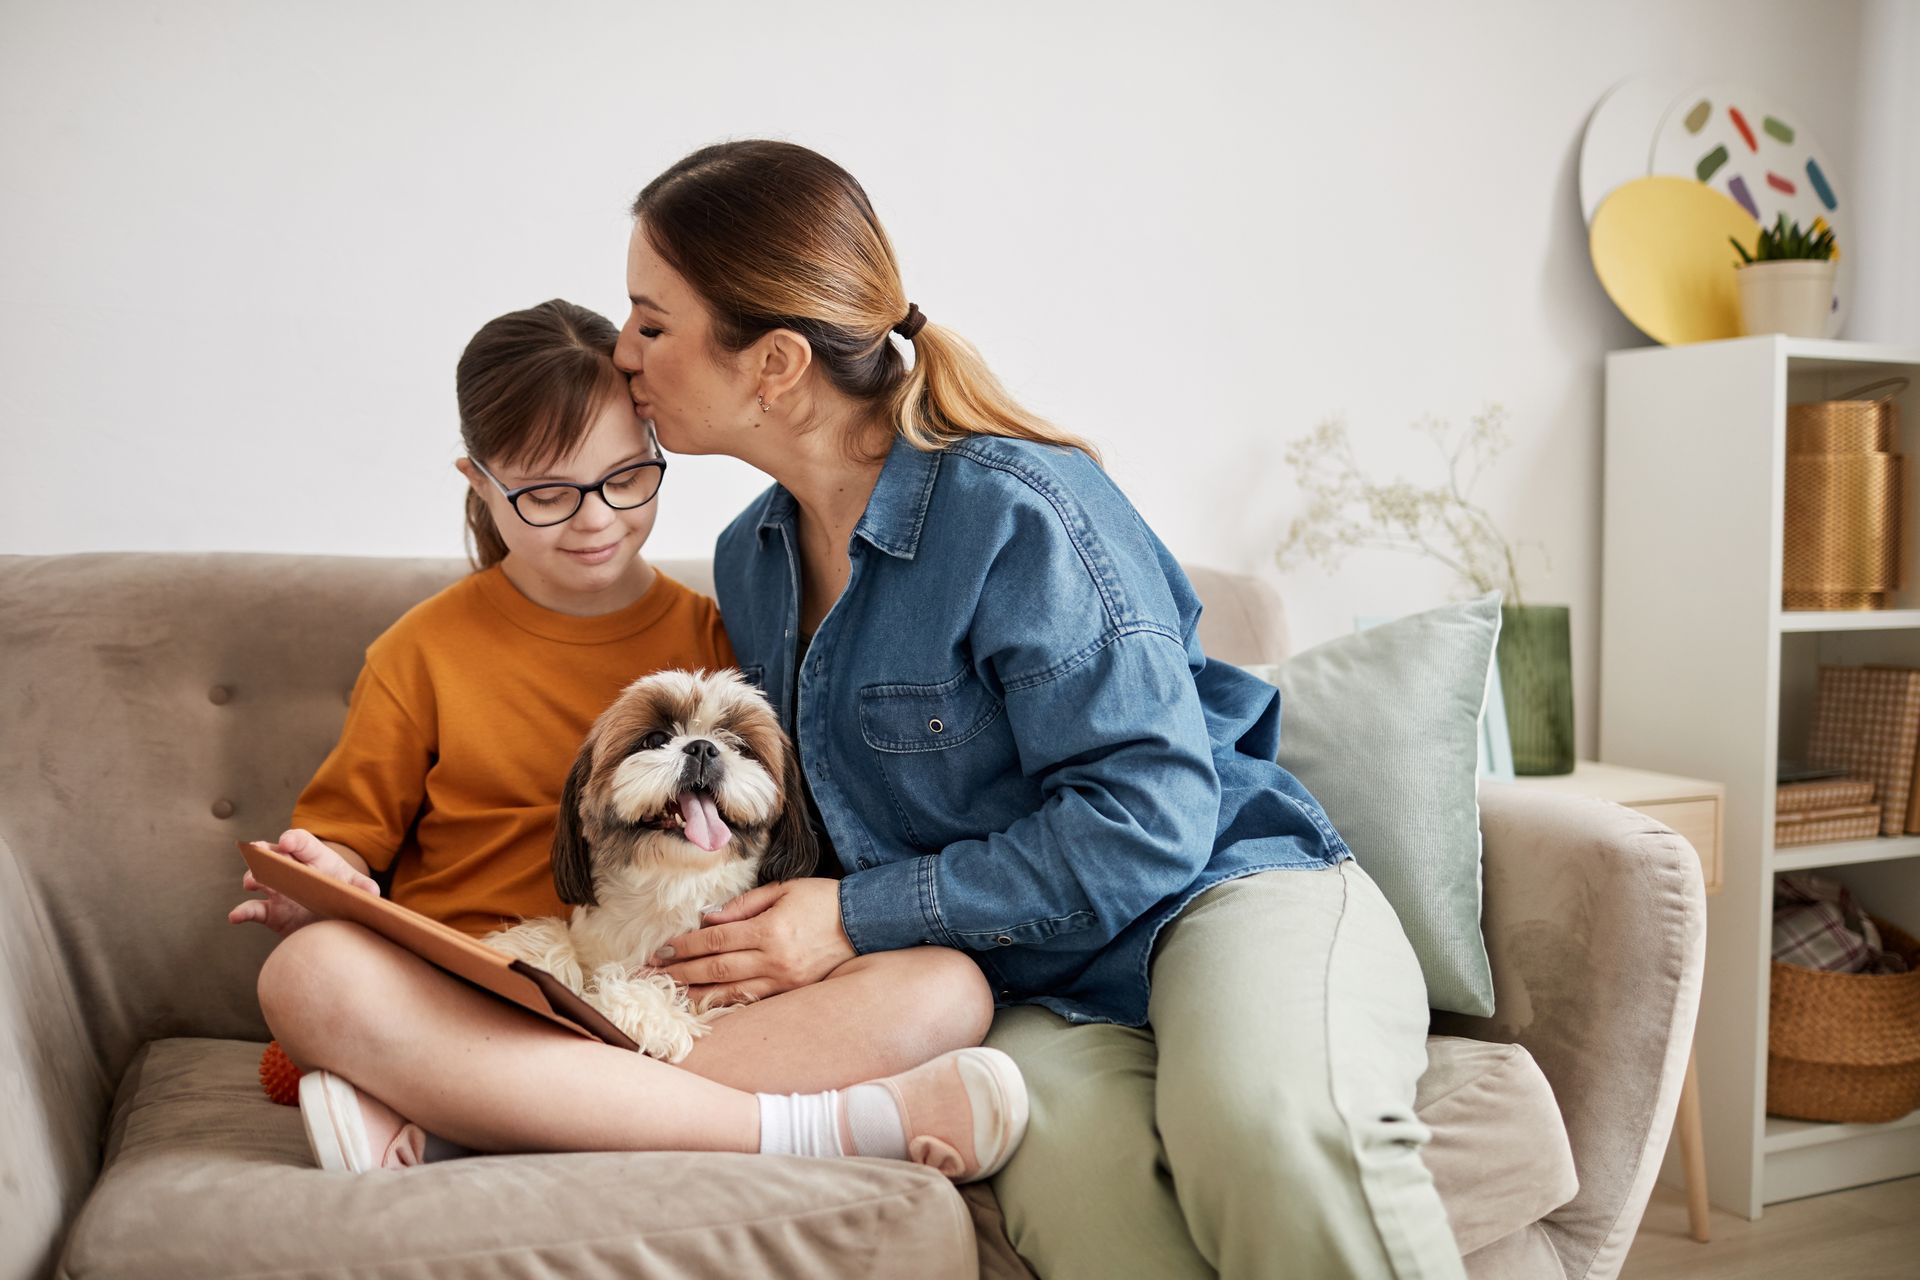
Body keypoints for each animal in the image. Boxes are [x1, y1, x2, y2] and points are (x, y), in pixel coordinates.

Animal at [483, 671, 814, 1059]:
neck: (669, 884)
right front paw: (519, 955)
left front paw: (641, 1012)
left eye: (741, 747)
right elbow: (552, 940)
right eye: (655, 739)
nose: (703, 747)